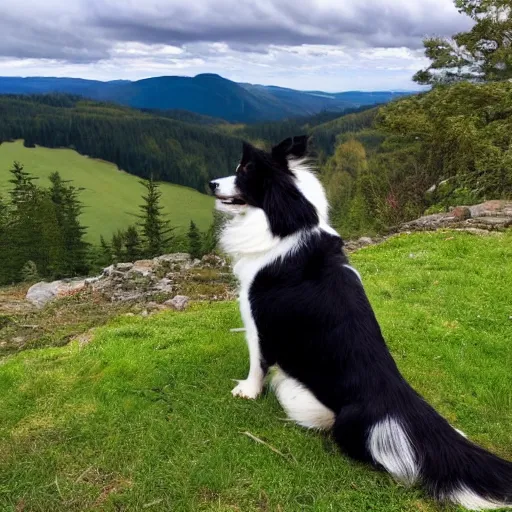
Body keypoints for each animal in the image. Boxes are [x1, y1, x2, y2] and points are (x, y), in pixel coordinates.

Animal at [209, 137, 512, 512]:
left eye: (244, 171)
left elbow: (257, 362)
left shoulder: (257, 320)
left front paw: (247, 391)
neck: (289, 222)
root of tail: (394, 401)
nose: (212, 184)